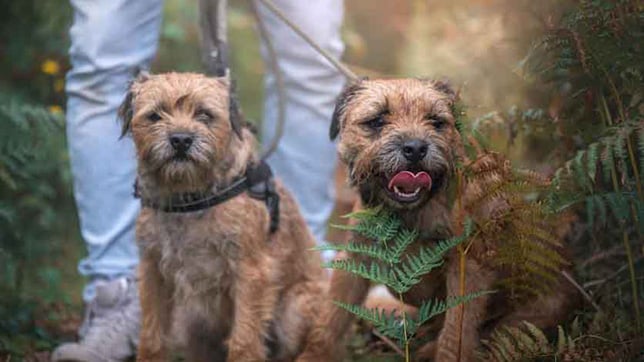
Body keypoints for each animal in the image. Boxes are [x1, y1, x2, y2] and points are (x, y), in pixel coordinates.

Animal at [119, 72, 328, 360]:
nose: (181, 139)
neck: (189, 198)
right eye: (155, 115)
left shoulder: (251, 274)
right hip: (188, 322)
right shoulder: (153, 271)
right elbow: (152, 336)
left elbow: (244, 340)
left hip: (294, 311)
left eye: (205, 114)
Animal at [300, 78, 576, 360]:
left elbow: (455, 333)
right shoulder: (354, 260)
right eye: (377, 120)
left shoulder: (467, 269)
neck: (408, 216)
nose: (415, 148)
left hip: (525, 320)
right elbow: (331, 320)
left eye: (436, 121)